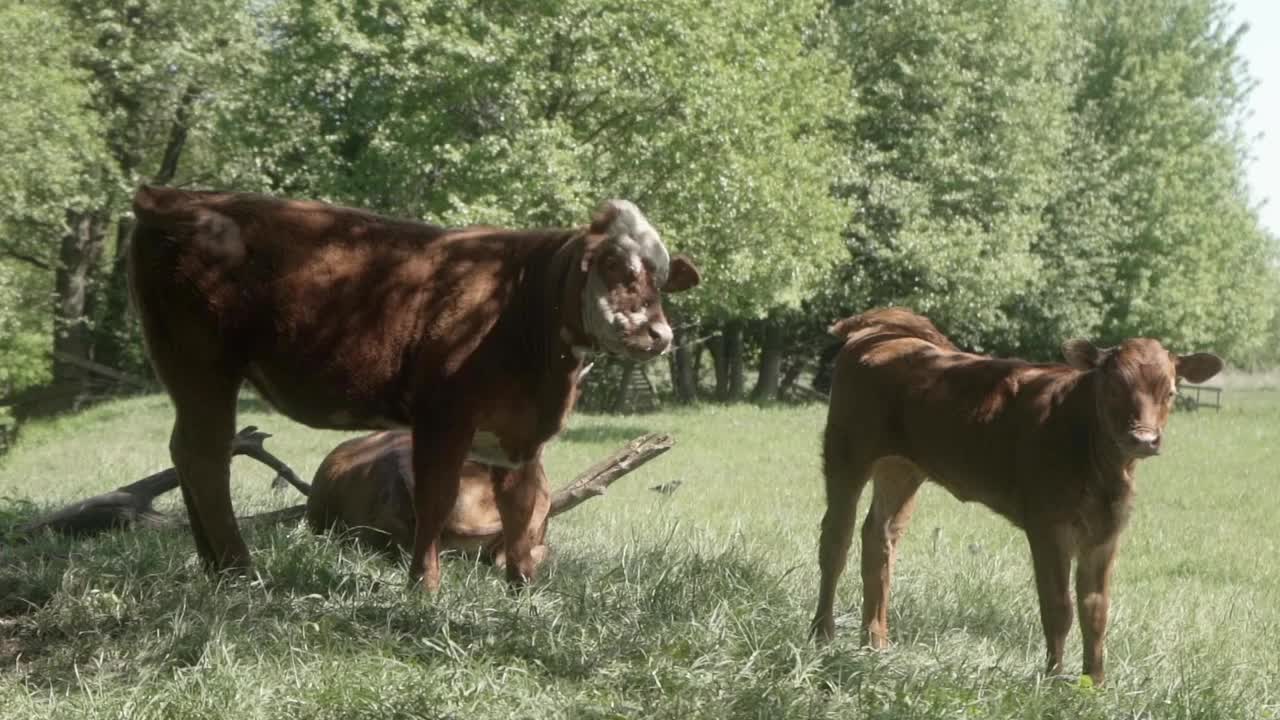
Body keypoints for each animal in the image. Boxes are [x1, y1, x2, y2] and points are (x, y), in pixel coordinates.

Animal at [129, 185, 701, 589]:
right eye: (613, 264)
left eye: (661, 276)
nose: (660, 334)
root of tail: (174, 198)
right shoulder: (443, 416)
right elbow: (436, 497)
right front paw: (424, 587)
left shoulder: (519, 433)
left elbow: (521, 509)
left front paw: (523, 589)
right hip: (201, 362)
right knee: (205, 456)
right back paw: (239, 569)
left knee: (191, 452)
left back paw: (214, 564)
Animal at [808, 304, 1218, 681]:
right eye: (1115, 386)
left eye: (1171, 391)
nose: (1144, 439)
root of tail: (885, 333)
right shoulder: (1048, 527)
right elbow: (1059, 607)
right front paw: (1053, 681)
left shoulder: (1105, 534)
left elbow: (1096, 611)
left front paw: (1095, 685)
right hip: (846, 452)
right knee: (836, 540)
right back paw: (822, 635)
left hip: (902, 468)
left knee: (879, 538)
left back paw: (875, 643)